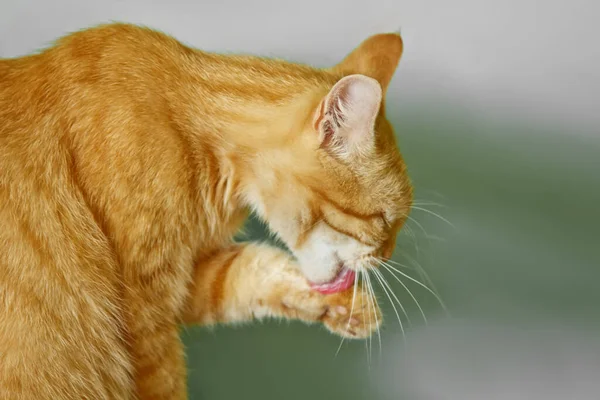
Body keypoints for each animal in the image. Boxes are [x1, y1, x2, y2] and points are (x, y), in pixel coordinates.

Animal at [0, 24, 412, 400]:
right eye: (385, 220)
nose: (388, 256)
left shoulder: (189, 279)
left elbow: (254, 269)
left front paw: (348, 307)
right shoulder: (146, 313)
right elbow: (165, 381)